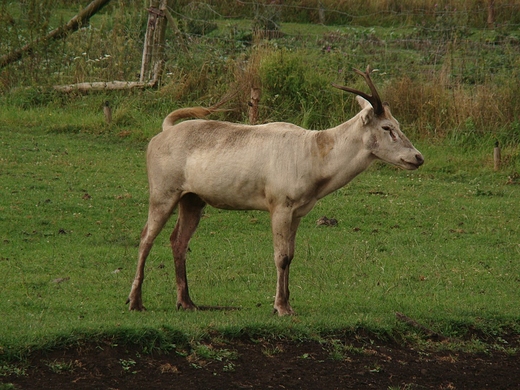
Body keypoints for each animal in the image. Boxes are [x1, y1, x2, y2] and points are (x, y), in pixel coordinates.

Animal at [127, 66, 422, 316]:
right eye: (387, 127)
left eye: (398, 125)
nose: (417, 157)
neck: (315, 159)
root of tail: (162, 132)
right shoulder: (280, 204)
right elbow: (280, 256)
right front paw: (280, 307)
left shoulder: (299, 211)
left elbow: (291, 255)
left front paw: (288, 304)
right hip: (163, 191)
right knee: (146, 237)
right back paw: (135, 301)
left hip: (192, 199)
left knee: (178, 240)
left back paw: (186, 302)